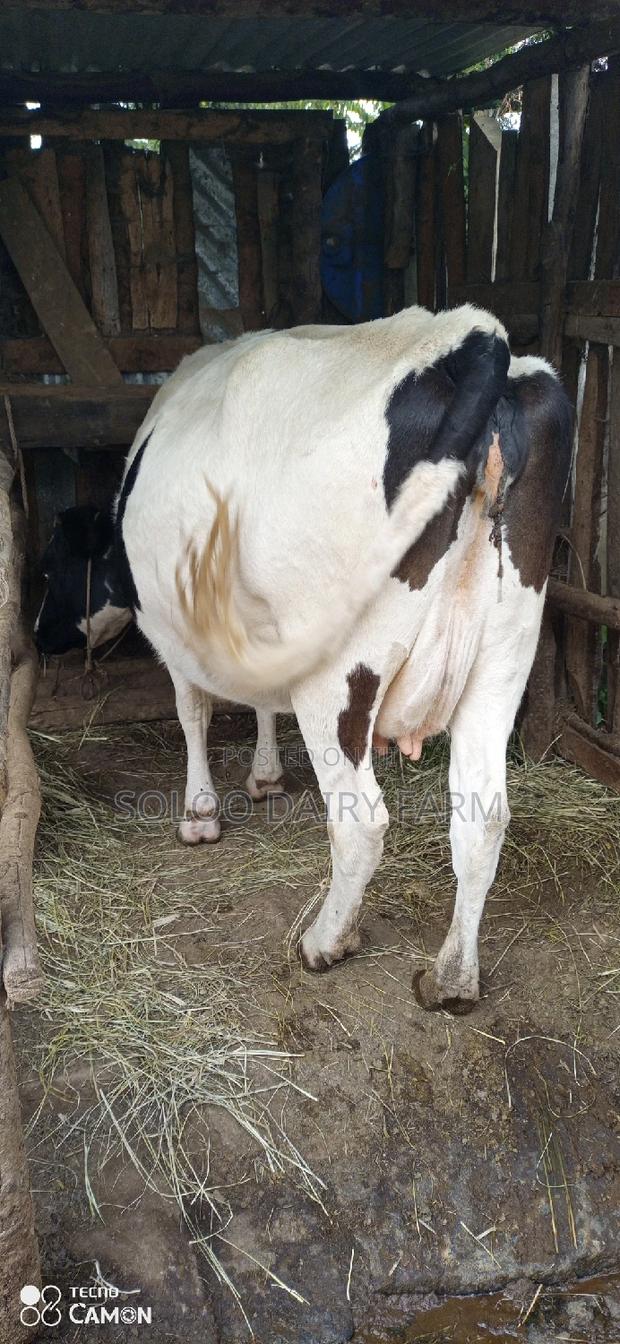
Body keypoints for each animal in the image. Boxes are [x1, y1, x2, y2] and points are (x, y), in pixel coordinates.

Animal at [37, 305, 571, 1011]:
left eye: (50, 566)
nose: (36, 635)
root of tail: (470, 338)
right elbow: (262, 704)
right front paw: (264, 776)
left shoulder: (176, 634)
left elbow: (193, 711)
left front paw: (201, 814)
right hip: (504, 657)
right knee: (482, 817)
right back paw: (452, 977)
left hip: (341, 674)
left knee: (362, 821)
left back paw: (326, 941)